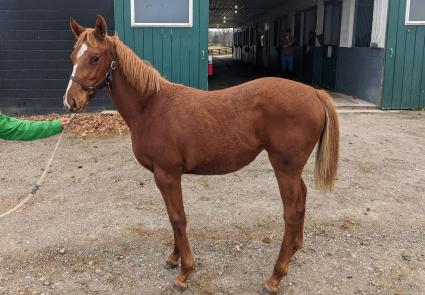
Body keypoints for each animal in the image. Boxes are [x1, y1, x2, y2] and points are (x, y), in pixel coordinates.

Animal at [64, 15, 340, 294]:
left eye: (95, 58)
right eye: (73, 56)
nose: (71, 102)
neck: (151, 106)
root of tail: (314, 93)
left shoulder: (167, 174)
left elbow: (178, 218)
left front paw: (185, 272)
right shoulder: (165, 176)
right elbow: (172, 217)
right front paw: (173, 258)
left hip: (285, 168)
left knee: (291, 214)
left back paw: (275, 276)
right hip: (292, 169)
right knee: (302, 199)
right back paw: (295, 248)